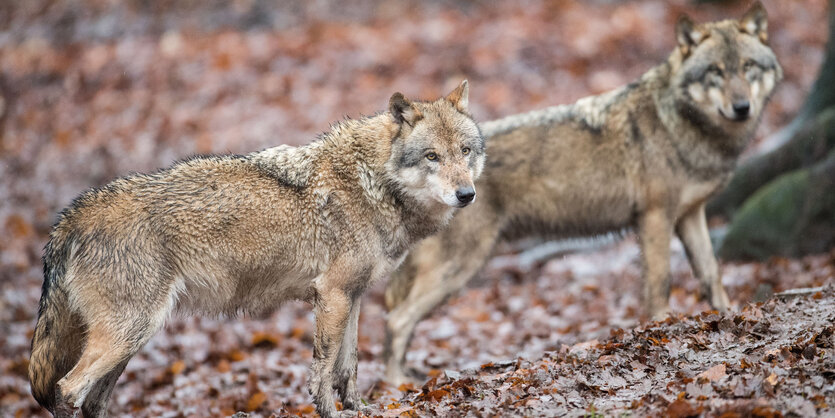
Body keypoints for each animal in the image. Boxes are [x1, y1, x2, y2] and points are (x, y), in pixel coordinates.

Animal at [31, 80, 490, 416]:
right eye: (432, 156)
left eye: (465, 151)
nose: (467, 195)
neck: (372, 182)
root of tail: (72, 215)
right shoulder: (332, 295)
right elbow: (322, 369)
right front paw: (330, 412)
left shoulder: (353, 295)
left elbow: (350, 366)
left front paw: (359, 408)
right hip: (131, 332)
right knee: (66, 389)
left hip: (131, 341)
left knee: (90, 399)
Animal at [386, 1, 784, 384]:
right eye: (715, 71)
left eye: (747, 67)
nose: (742, 107)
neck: (680, 126)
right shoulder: (655, 217)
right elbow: (660, 282)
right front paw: (661, 329)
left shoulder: (690, 215)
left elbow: (712, 272)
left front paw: (728, 315)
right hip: (461, 266)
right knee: (396, 320)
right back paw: (397, 384)